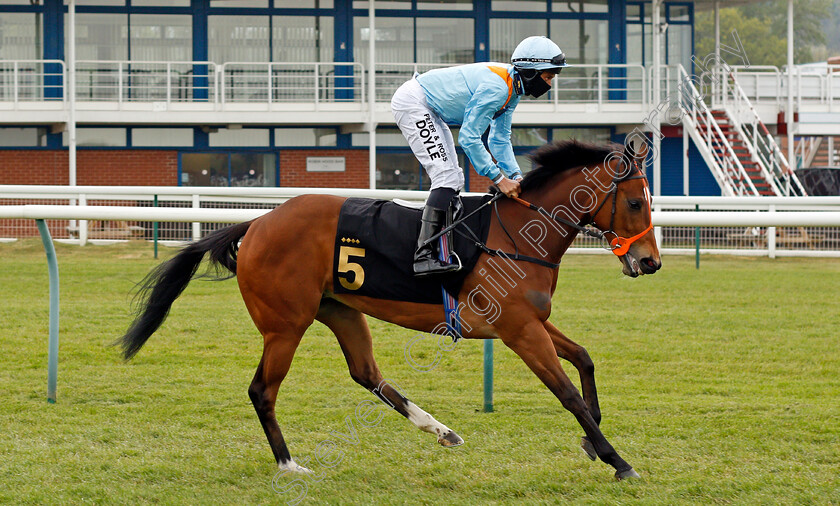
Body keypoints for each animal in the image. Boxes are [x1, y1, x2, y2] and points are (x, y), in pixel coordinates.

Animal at [118, 140, 660, 480]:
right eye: (636, 202)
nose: (650, 261)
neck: (519, 234)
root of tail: (254, 223)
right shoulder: (519, 328)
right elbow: (566, 393)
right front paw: (616, 459)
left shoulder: (533, 320)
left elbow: (584, 358)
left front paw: (592, 443)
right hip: (284, 326)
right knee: (262, 390)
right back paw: (289, 464)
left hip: (340, 310)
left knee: (366, 373)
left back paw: (441, 430)